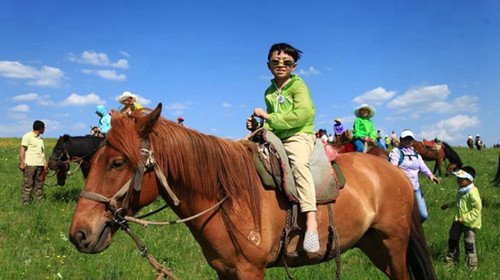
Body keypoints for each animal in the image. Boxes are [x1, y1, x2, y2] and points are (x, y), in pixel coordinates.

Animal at [68, 105, 436, 280]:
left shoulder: (250, 272)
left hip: (392, 244)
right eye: (92, 161)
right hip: (374, 246)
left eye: (117, 163)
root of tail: (397, 173)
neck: (228, 199)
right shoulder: (225, 271)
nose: (79, 234)